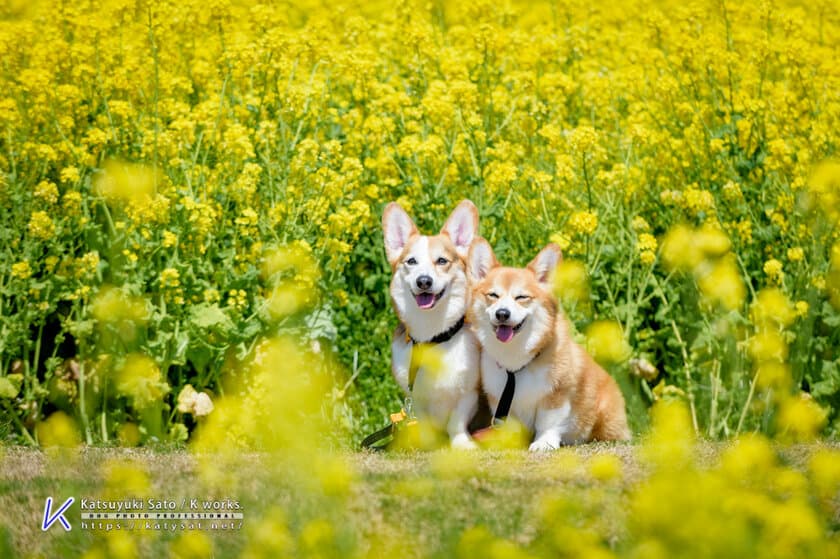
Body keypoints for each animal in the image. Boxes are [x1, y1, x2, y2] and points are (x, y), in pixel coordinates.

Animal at [384, 199, 482, 448]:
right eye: (411, 261)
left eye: (442, 261)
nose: (424, 281)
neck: (433, 336)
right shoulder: (416, 397)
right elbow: (426, 425)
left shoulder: (469, 393)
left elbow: (456, 422)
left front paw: (461, 444)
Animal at [466, 241, 632, 450]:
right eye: (493, 295)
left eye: (521, 297)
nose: (502, 313)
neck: (516, 362)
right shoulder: (501, 400)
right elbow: (511, 426)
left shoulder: (556, 394)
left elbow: (548, 422)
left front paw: (543, 443)